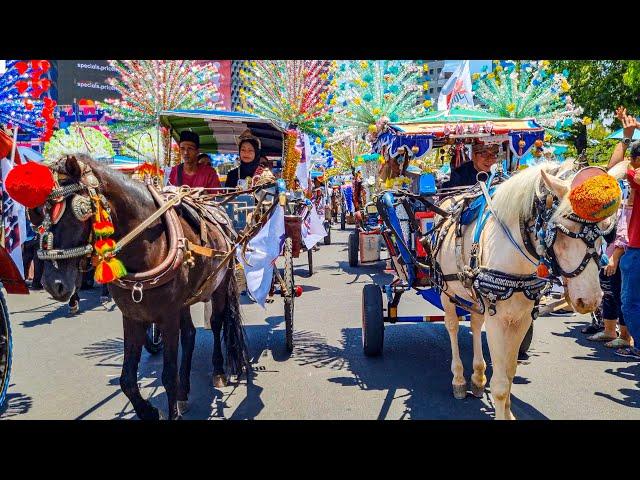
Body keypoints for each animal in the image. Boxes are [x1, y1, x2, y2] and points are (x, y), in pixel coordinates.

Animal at [31, 156, 250, 418]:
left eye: (80, 210)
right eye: (38, 213)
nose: (52, 283)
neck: (149, 246)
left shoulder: (167, 316)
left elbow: (168, 376)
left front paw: (170, 411)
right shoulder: (133, 315)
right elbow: (127, 379)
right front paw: (148, 410)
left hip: (219, 285)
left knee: (216, 325)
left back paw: (218, 372)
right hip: (183, 302)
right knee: (189, 335)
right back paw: (184, 394)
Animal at [432, 159, 616, 418]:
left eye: (605, 230)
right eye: (561, 231)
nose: (589, 301)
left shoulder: (522, 316)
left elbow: (509, 374)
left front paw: (505, 407)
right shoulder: (497, 319)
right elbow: (500, 384)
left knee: (476, 324)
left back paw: (477, 378)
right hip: (446, 290)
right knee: (452, 327)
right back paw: (458, 379)